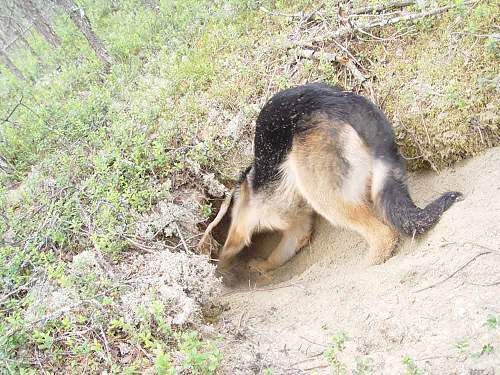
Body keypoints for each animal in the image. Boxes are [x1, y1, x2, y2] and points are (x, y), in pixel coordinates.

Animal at [218, 83, 460, 274]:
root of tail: (347, 105)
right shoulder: (297, 226)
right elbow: (282, 249)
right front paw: (263, 265)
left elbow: (234, 240)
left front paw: (221, 268)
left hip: (324, 196)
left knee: (384, 235)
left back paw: (365, 266)